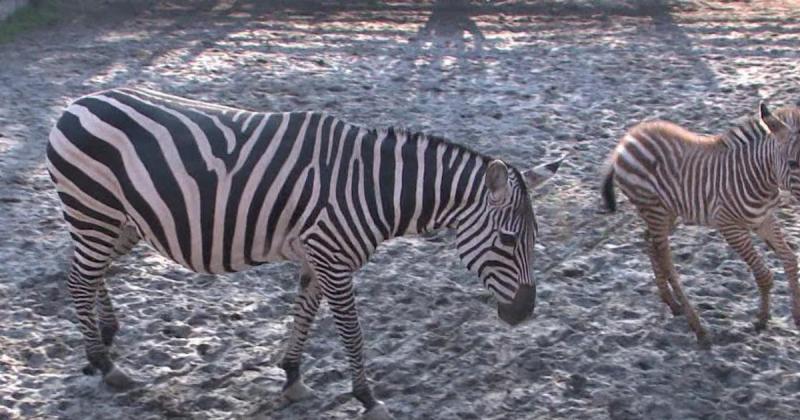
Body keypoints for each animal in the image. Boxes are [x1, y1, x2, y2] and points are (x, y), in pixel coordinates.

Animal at [47, 87, 564, 418]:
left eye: (535, 238)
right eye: (508, 241)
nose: (524, 313)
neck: (374, 188)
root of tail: (76, 104)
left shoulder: (320, 257)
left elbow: (305, 314)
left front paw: (293, 376)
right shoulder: (334, 259)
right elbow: (351, 333)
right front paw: (367, 398)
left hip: (121, 222)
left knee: (92, 274)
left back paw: (105, 338)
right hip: (93, 210)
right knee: (79, 280)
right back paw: (106, 365)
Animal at [604, 103, 800, 346]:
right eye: (792, 163)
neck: (760, 179)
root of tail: (627, 139)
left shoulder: (764, 219)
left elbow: (790, 260)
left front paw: (797, 316)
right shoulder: (730, 227)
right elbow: (764, 275)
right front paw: (762, 320)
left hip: (668, 212)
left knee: (649, 242)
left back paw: (672, 303)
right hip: (655, 210)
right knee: (666, 260)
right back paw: (698, 328)